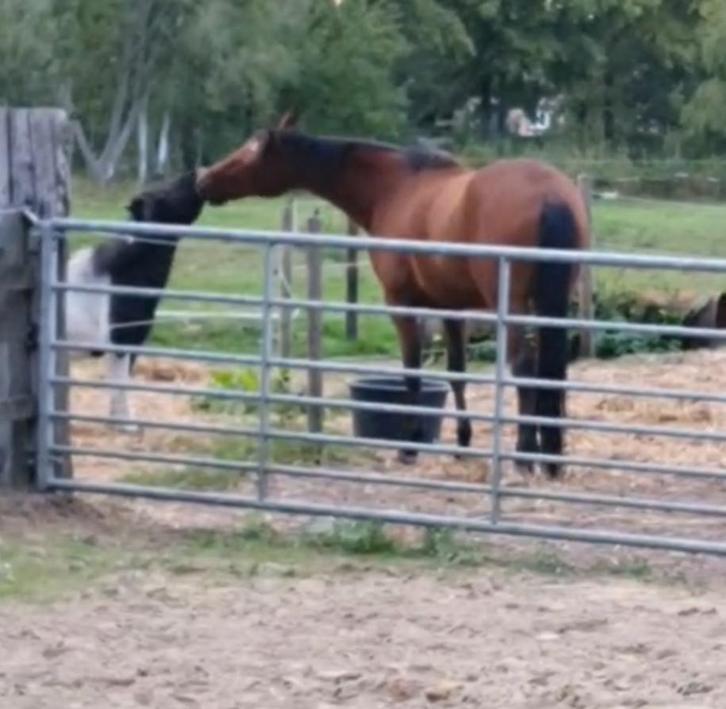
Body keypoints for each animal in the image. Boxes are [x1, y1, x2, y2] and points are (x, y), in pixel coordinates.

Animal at [66, 170, 204, 428]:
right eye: (160, 195)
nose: (195, 173)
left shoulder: (135, 341)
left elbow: (123, 382)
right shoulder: (118, 340)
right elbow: (119, 384)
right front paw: (127, 427)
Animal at [196, 115, 589, 479]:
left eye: (252, 152)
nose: (204, 180)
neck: (396, 188)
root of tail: (550, 195)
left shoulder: (401, 303)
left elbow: (412, 372)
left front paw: (410, 446)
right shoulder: (451, 308)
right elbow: (457, 372)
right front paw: (462, 443)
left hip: (514, 305)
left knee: (524, 367)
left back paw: (525, 456)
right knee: (551, 371)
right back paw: (551, 458)